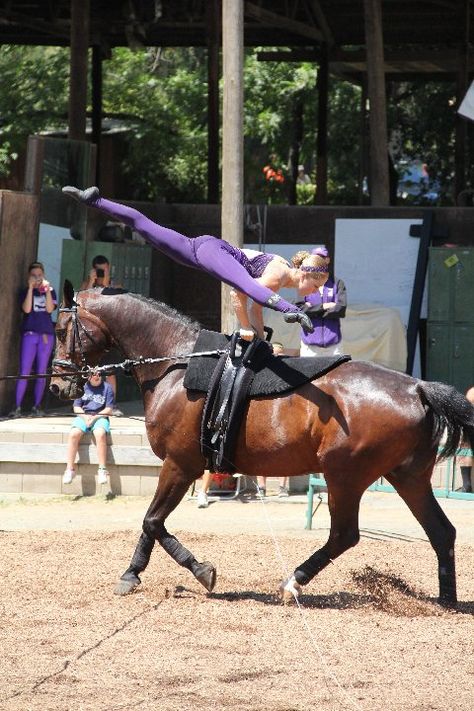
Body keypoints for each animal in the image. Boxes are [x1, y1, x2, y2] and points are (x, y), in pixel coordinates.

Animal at [51, 284, 474, 608]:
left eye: (58, 329)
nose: (56, 384)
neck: (176, 363)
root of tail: (416, 387)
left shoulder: (180, 464)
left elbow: (152, 521)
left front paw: (183, 572)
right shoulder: (182, 467)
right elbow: (153, 523)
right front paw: (144, 573)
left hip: (344, 476)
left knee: (344, 535)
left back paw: (292, 583)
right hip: (407, 477)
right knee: (441, 532)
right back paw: (446, 601)